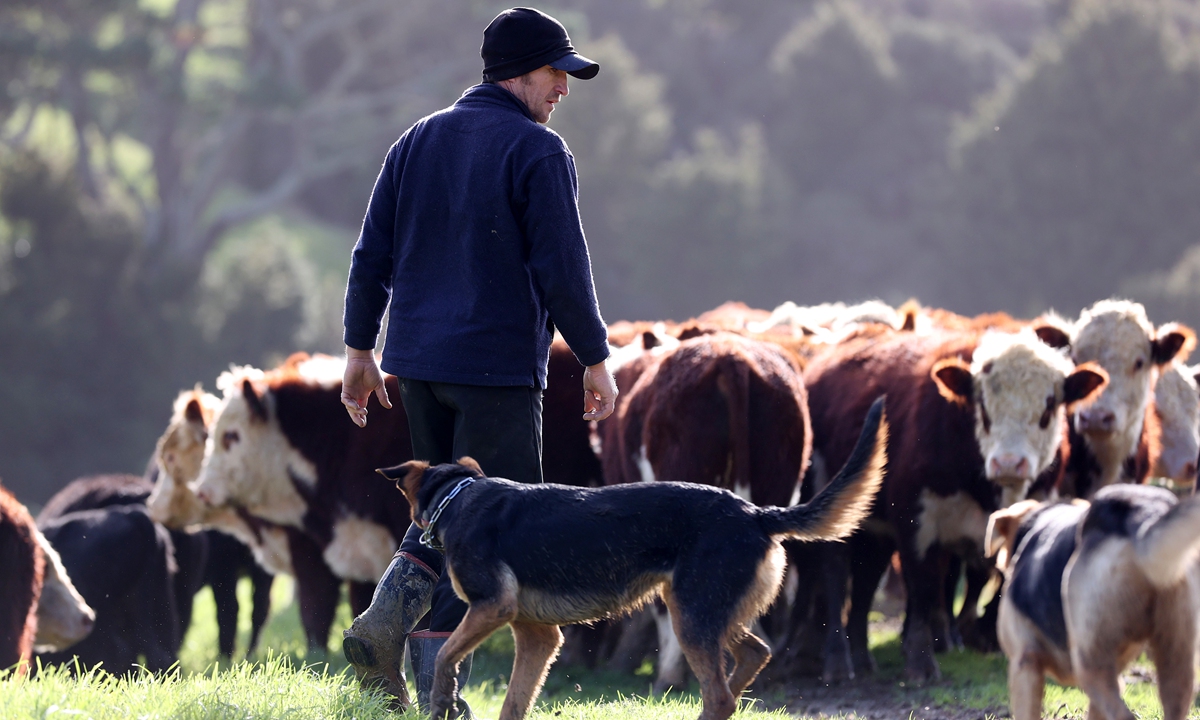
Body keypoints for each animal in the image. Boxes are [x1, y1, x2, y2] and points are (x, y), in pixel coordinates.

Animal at [376, 396, 892, 715]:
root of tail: (754, 513)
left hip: (690, 615)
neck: (457, 494)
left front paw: (441, 700)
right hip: (708, 612)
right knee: (751, 658)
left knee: (721, 694)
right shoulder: (539, 636)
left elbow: (444, 655)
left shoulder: (491, 608)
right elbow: (514, 702)